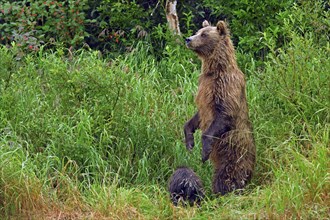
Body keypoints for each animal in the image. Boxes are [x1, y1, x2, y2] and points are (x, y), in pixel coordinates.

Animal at [184, 20, 256, 195]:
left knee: (226, 176)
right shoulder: (205, 90)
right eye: (198, 31)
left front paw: (204, 152)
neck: (215, 70)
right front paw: (189, 142)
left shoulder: (226, 86)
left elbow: (224, 113)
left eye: (204, 34)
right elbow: (197, 117)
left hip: (233, 153)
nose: (188, 39)